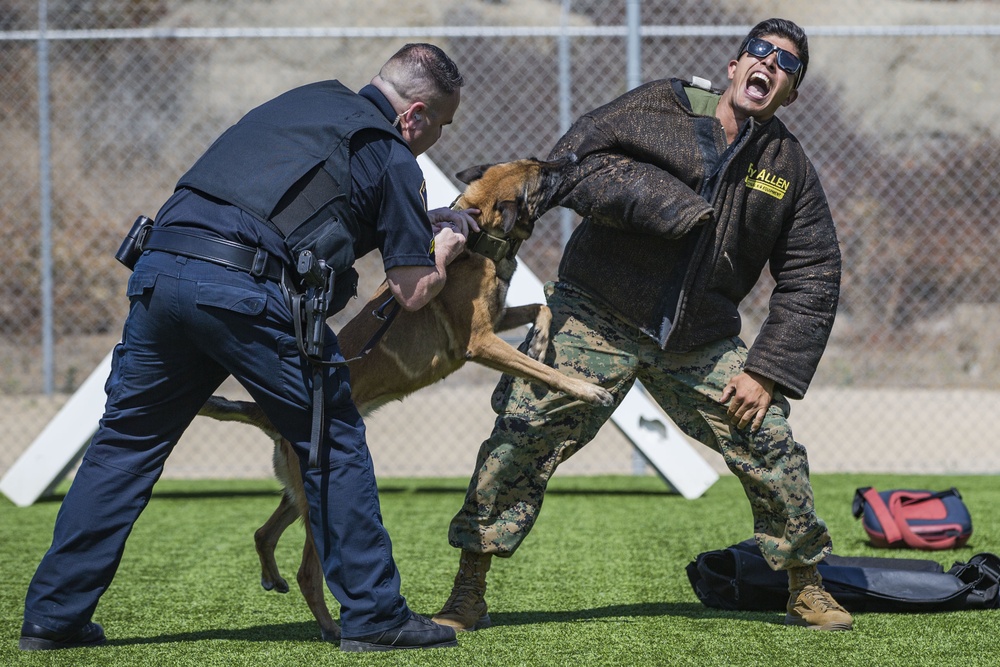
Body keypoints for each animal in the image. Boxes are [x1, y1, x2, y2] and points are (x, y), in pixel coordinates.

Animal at [199, 157, 612, 640]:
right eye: (543, 175)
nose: (571, 160)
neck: (479, 242)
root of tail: (265, 412)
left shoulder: (497, 323)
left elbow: (540, 309)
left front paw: (542, 342)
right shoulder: (480, 343)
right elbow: (547, 366)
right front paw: (584, 388)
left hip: (299, 490)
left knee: (263, 534)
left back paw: (274, 579)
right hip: (319, 499)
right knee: (308, 573)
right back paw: (334, 630)